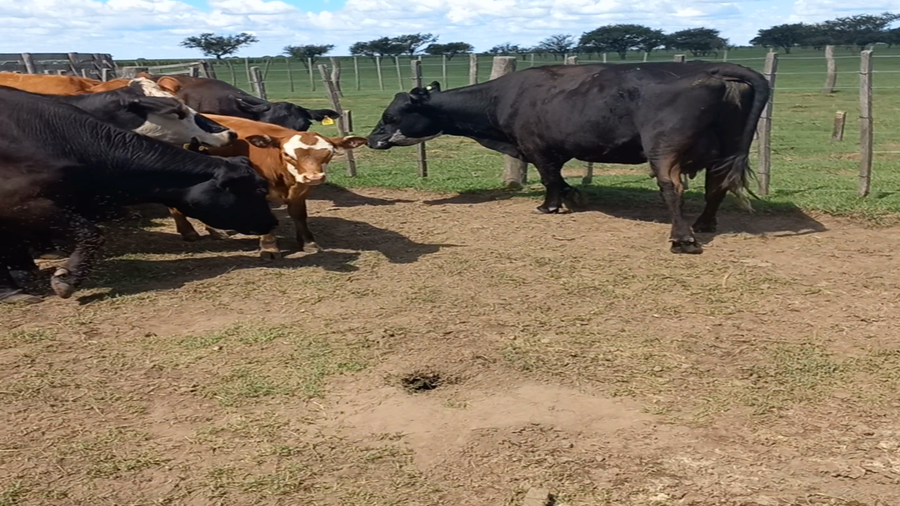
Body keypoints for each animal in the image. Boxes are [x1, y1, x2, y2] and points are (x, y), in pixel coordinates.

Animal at [164, 114, 367, 259]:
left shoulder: (300, 191)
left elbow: (299, 216)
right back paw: (188, 231)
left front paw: (308, 243)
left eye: (329, 154)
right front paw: (269, 248)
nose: (314, 177)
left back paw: (217, 231)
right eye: (287, 154)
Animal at [366, 61, 770, 254]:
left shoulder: (537, 148)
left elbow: (549, 179)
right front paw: (573, 197)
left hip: (664, 149)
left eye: (390, 116)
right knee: (717, 185)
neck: (502, 98)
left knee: (673, 188)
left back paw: (682, 237)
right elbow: (560, 178)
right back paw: (704, 223)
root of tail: (710, 67)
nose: (370, 139)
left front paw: (549, 206)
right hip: (726, 148)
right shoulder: (554, 149)